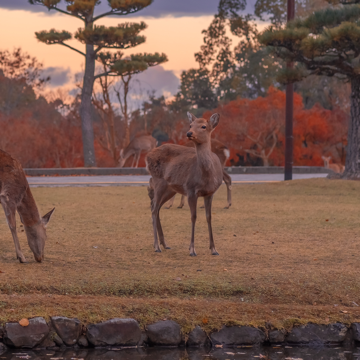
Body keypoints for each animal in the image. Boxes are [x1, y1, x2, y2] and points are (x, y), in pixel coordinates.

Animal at [146, 112, 222, 256]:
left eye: (204, 126)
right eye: (190, 125)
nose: (189, 133)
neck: (206, 176)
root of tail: (147, 157)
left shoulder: (210, 192)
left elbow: (209, 217)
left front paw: (214, 249)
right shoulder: (191, 190)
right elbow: (193, 216)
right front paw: (192, 249)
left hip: (170, 189)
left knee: (157, 207)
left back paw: (165, 244)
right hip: (158, 181)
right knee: (153, 208)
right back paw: (157, 246)